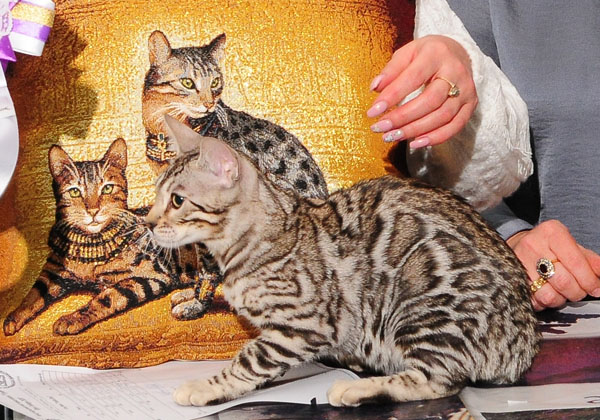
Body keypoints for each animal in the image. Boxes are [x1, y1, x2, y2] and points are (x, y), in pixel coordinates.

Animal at [2, 138, 221, 337]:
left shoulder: (153, 275)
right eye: (74, 192)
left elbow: (107, 297)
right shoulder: (52, 272)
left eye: (107, 188)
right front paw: (13, 317)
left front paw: (71, 319)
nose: (93, 211)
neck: (90, 245)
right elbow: (32, 295)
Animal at [146, 116, 540, 407]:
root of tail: (524, 344)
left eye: (177, 200)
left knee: (438, 379)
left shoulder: (307, 322)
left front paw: (208, 386)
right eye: (156, 195)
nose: (148, 222)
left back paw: (356, 388)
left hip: (421, 309)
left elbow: (252, 357)